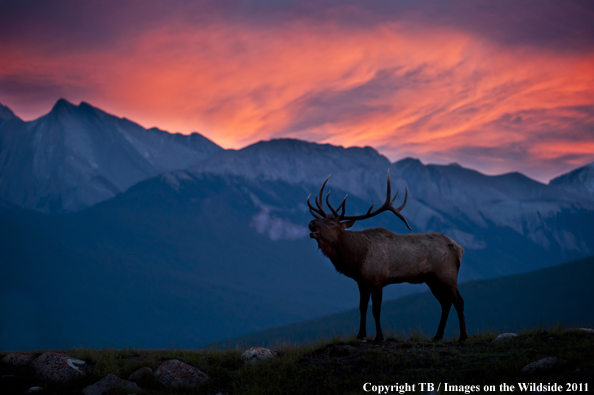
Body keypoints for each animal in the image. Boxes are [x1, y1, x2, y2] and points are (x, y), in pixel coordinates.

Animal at [306, 170, 468, 344]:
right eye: (321, 219)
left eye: (331, 224)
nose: (311, 223)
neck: (357, 258)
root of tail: (460, 248)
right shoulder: (362, 282)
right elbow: (362, 307)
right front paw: (360, 335)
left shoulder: (377, 279)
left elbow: (376, 310)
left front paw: (379, 337)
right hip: (431, 279)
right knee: (445, 302)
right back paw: (437, 336)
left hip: (447, 274)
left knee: (458, 300)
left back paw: (463, 336)